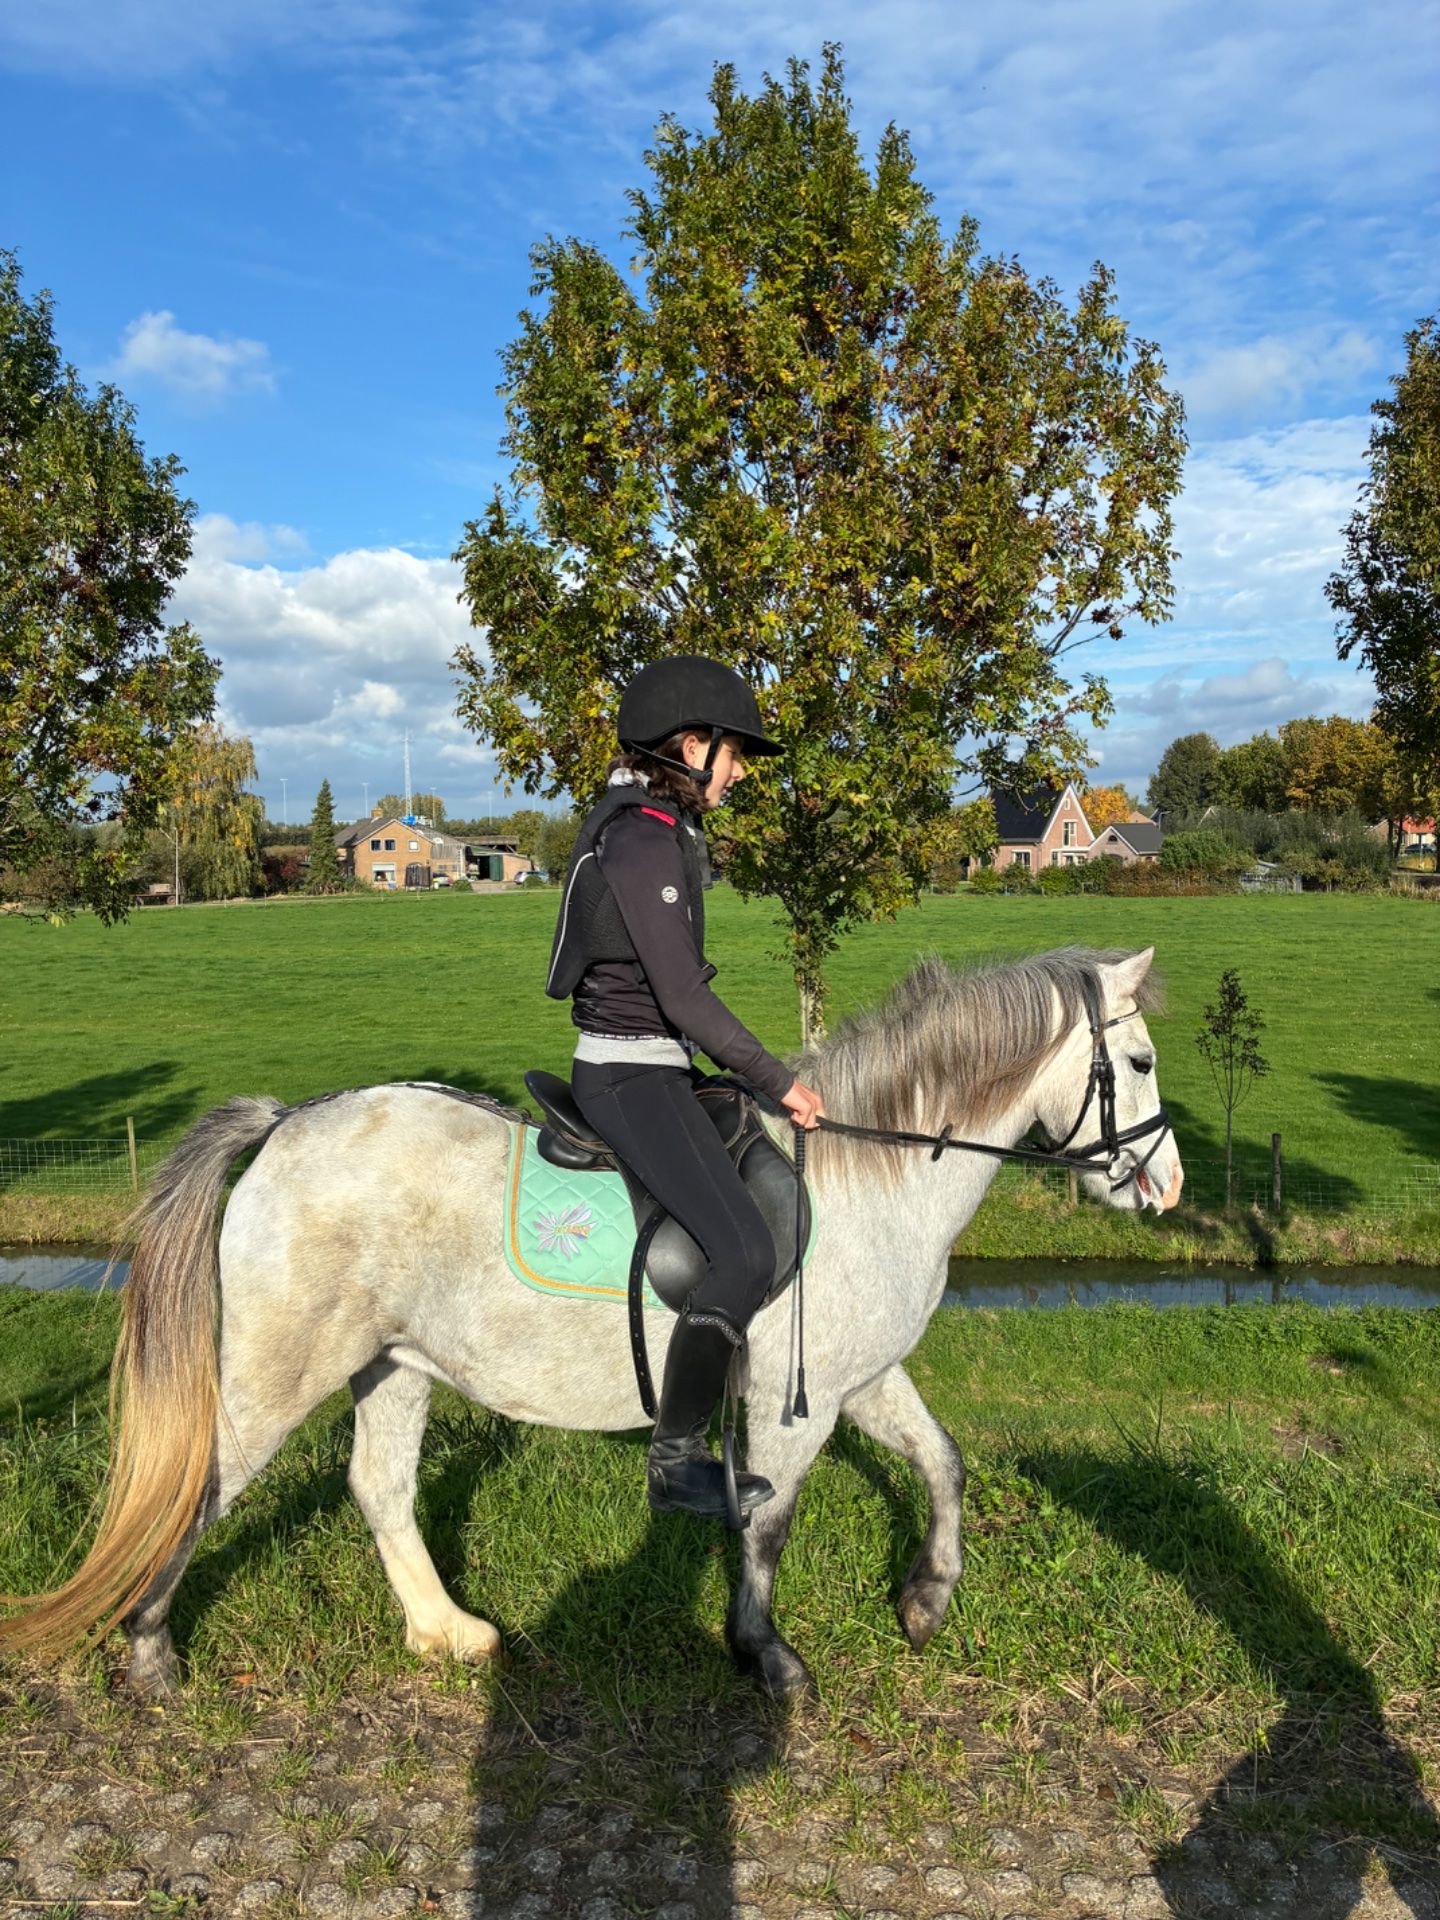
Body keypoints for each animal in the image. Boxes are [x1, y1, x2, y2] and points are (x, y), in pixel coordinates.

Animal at [0, 945, 1181, 1699]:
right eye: (1138, 1064)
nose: (1165, 1186)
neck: (865, 1172)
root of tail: (287, 1123)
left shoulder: (859, 1376)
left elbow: (943, 1462)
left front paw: (928, 1599)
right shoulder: (790, 1406)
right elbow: (766, 1529)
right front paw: (766, 1658)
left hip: (395, 1364)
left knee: (378, 1488)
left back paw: (447, 1635)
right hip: (278, 1370)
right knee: (199, 1487)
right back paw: (150, 1659)